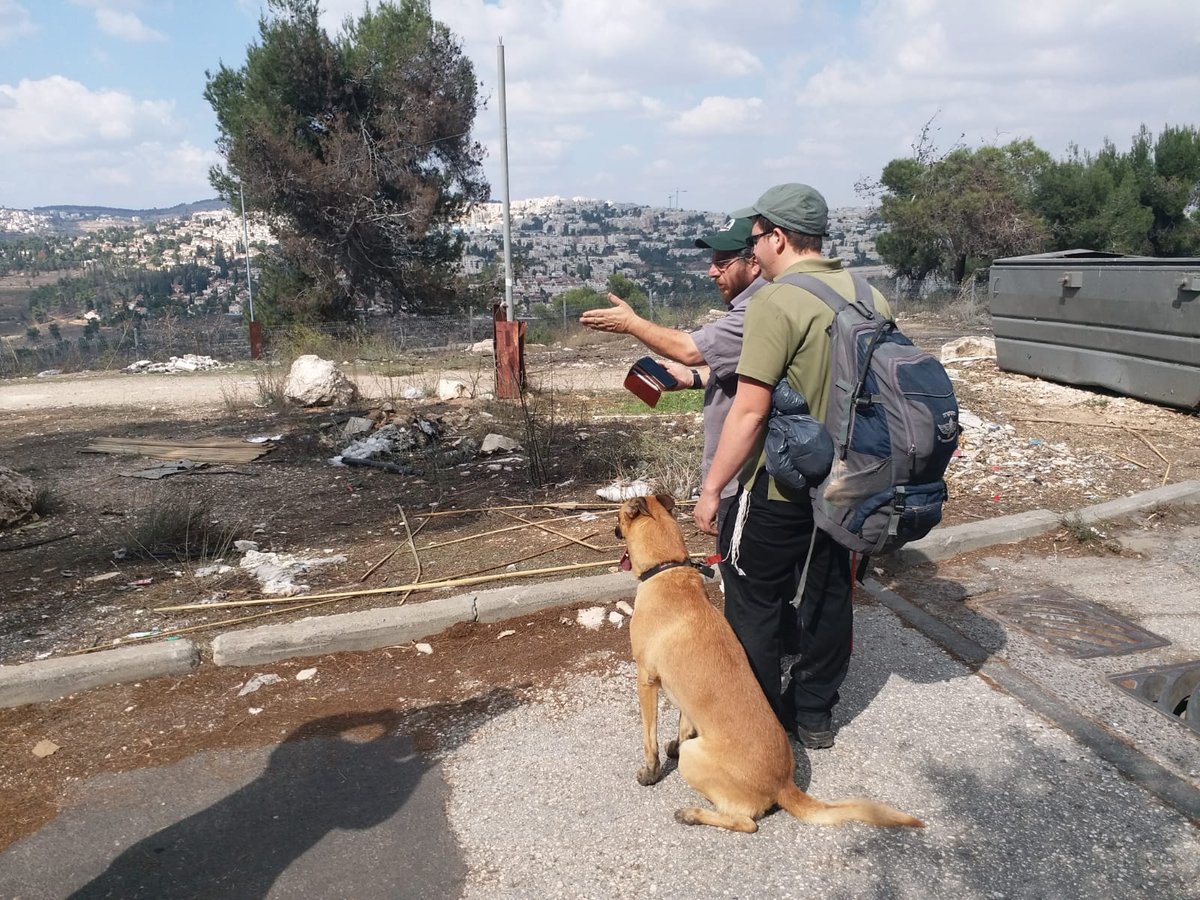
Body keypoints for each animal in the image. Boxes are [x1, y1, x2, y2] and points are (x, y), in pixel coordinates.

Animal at [614, 496, 921, 835]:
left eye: (619, 518)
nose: (614, 530)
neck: (667, 568)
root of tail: (784, 785)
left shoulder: (645, 681)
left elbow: (649, 740)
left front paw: (650, 772)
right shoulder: (681, 692)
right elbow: (684, 723)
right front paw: (675, 742)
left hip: (695, 762)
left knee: (746, 823)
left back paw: (692, 814)